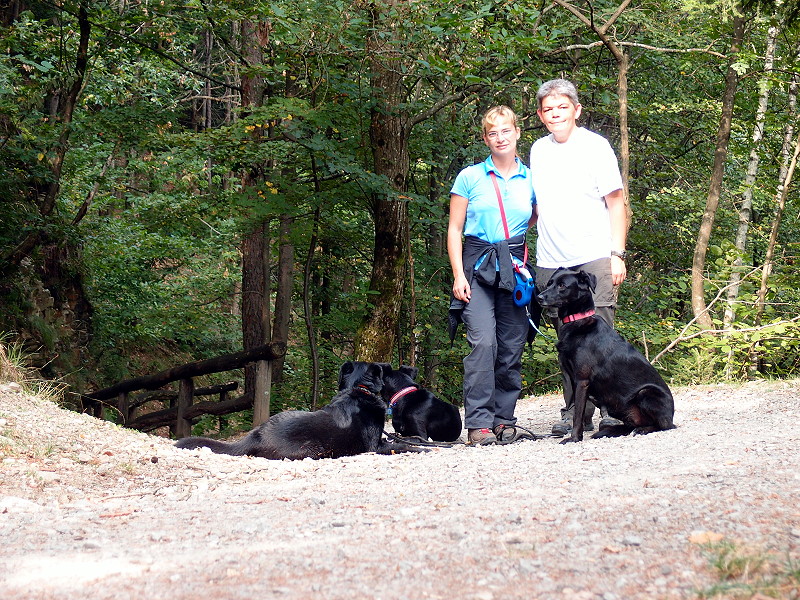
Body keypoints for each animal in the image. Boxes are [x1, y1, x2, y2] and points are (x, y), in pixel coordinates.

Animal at [175, 360, 418, 460]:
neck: (359, 390)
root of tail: (256, 434)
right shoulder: (374, 446)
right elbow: (401, 445)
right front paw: (419, 448)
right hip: (313, 448)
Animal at [536, 270, 676, 442]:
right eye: (550, 283)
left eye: (562, 285)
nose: (539, 297)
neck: (578, 321)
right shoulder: (573, 379)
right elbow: (576, 409)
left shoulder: (582, 380)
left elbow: (578, 414)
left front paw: (574, 438)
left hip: (646, 393)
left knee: (665, 426)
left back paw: (642, 430)